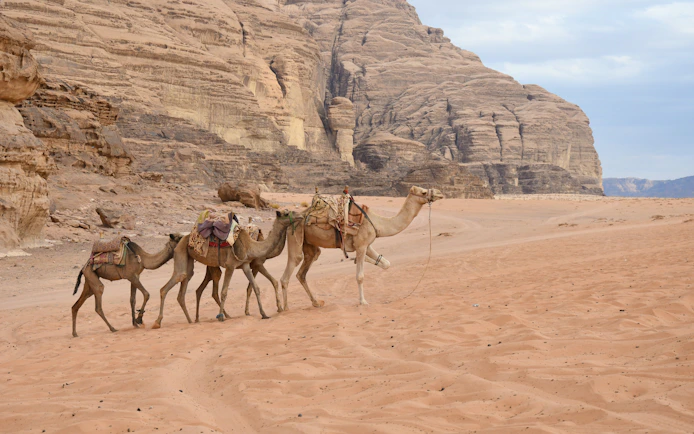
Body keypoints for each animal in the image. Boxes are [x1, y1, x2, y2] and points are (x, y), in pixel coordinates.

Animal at [152, 210, 298, 328]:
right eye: (287, 213)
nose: (300, 216)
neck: (250, 244)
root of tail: (182, 239)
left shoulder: (245, 265)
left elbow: (255, 287)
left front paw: (264, 314)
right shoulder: (230, 265)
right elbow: (224, 292)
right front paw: (221, 317)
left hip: (189, 261)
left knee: (184, 287)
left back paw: (192, 321)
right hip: (181, 254)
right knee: (168, 285)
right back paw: (157, 322)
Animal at [280, 185, 444, 308]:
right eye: (423, 192)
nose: (440, 193)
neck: (378, 222)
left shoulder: (367, 245)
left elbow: (386, 263)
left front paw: (358, 260)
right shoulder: (361, 244)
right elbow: (360, 276)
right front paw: (363, 301)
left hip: (309, 244)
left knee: (302, 272)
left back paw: (316, 302)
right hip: (295, 236)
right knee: (288, 272)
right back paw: (285, 308)